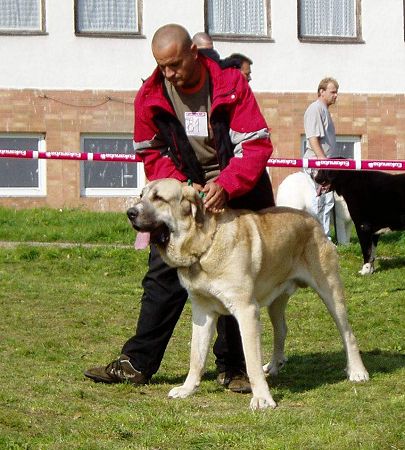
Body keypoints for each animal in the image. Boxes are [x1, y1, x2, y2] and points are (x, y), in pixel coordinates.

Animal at [128, 178, 368, 410]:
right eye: (141, 195)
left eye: (159, 198)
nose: (130, 212)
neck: (205, 244)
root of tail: (313, 220)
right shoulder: (202, 312)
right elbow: (196, 356)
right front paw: (187, 389)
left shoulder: (246, 310)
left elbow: (251, 360)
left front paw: (262, 398)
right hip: (276, 300)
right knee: (281, 330)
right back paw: (273, 365)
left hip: (330, 291)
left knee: (348, 333)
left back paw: (357, 371)